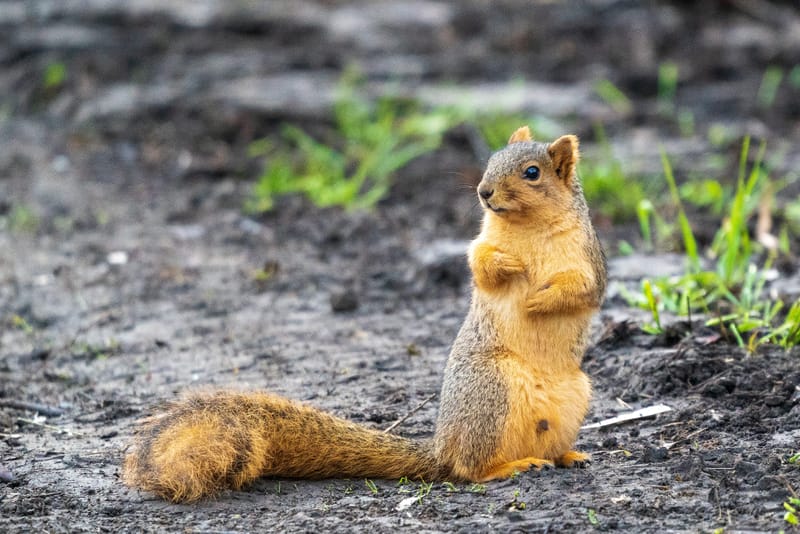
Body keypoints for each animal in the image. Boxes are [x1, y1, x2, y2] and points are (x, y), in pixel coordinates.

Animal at [121, 127, 607, 502]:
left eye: (532, 173)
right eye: (490, 161)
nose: (484, 193)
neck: (526, 229)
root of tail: (441, 448)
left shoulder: (587, 259)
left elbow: (583, 291)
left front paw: (538, 300)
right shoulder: (482, 244)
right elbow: (481, 268)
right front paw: (509, 271)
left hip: (573, 396)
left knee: (533, 449)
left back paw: (567, 456)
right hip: (492, 390)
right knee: (470, 469)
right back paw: (510, 466)